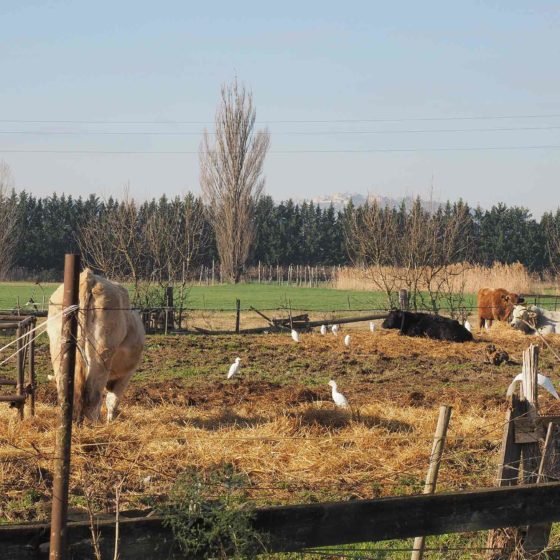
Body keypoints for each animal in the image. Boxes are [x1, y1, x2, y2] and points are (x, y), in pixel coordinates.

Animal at [47, 268, 145, 420]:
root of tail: (89, 277)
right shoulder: (126, 374)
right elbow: (112, 401)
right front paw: (110, 421)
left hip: (59, 350)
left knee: (66, 393)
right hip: (101, 355)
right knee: (92, 397)